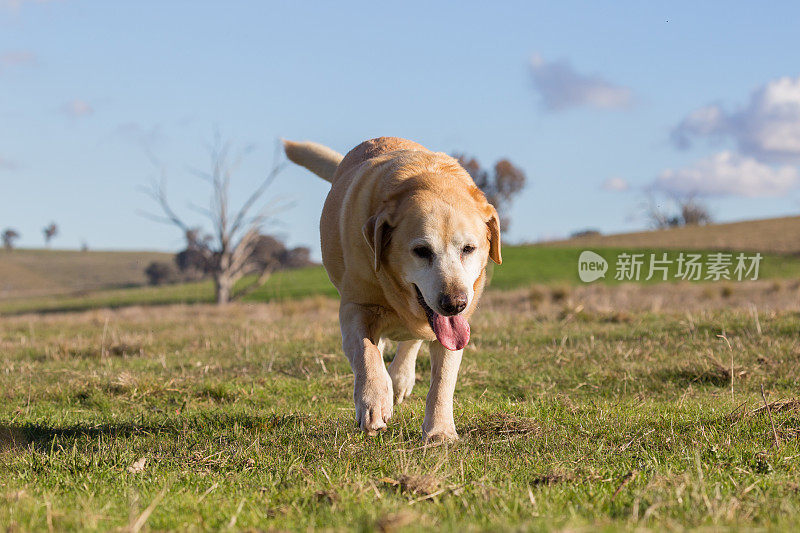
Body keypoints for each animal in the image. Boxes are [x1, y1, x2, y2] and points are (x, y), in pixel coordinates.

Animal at [284, 137, 500, 440]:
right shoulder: (354, 308)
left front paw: (439, 432)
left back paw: (399, 379)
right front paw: (373, 402)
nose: (454, 303)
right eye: (421, 251)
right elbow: (366, 353)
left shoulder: (457, 327)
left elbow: (443, 379)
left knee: (411, 341)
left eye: (469, 248)